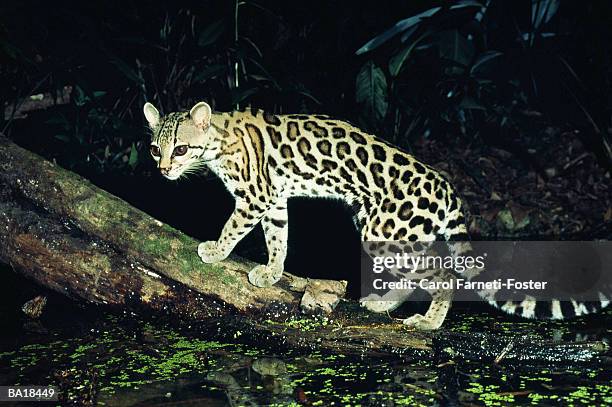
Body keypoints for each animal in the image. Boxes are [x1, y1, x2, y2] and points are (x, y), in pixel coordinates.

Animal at [143, 103, 608, 332]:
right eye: (154, 148)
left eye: (180, 149)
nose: (162, 170)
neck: (218, 140)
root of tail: (445, 185)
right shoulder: (274, 199)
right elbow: (279, 237)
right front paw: (272, 271)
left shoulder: (255, 197)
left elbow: (234, 226)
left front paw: (215, 250)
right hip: (381, 230)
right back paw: (384, 304)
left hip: (386, 232)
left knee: (443, 274)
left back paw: (429, 321)